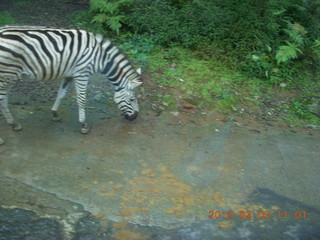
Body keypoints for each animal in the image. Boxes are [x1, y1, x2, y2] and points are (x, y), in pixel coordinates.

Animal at [0, 25, 142, 144]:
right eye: (132, 99)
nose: (135, 117)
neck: (101, 58)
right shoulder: (82, 73)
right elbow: (81, 99)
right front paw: (84, 125)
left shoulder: (68, 74)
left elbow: (61, 94)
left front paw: (55, 114)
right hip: (8, 73)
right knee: (2, 99)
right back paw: (5, 134)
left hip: (7, 74)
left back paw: (13, 124)